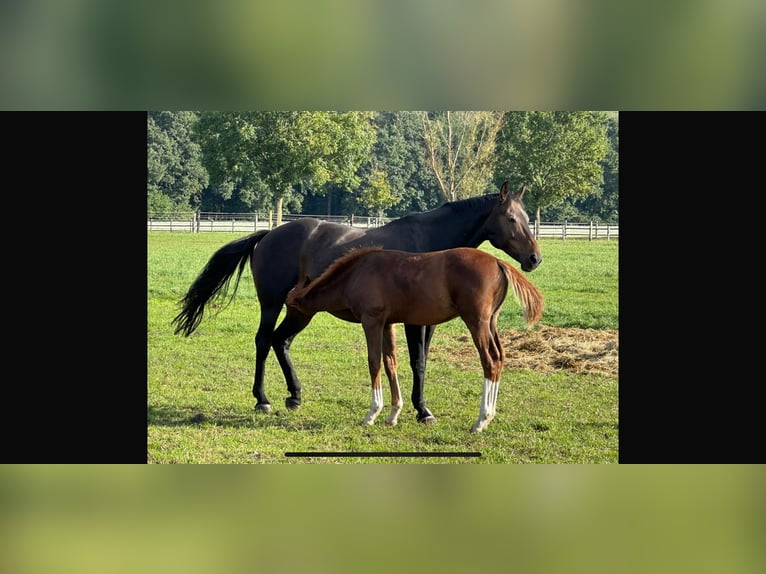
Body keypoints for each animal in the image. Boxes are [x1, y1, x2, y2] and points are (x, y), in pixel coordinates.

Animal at [288, 249, 544, 436]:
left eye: (291, 306)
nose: (284, 330)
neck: (357, 272)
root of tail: (498, 261)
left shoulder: (372, 321)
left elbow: (374, 362)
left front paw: (372, 413)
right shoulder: (388, 324)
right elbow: (390, 363)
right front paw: (393, 415)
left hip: (476, 322)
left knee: (489, 361)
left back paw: (480, 421)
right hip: (491, 322)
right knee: (499, 358)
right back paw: (489, 417)